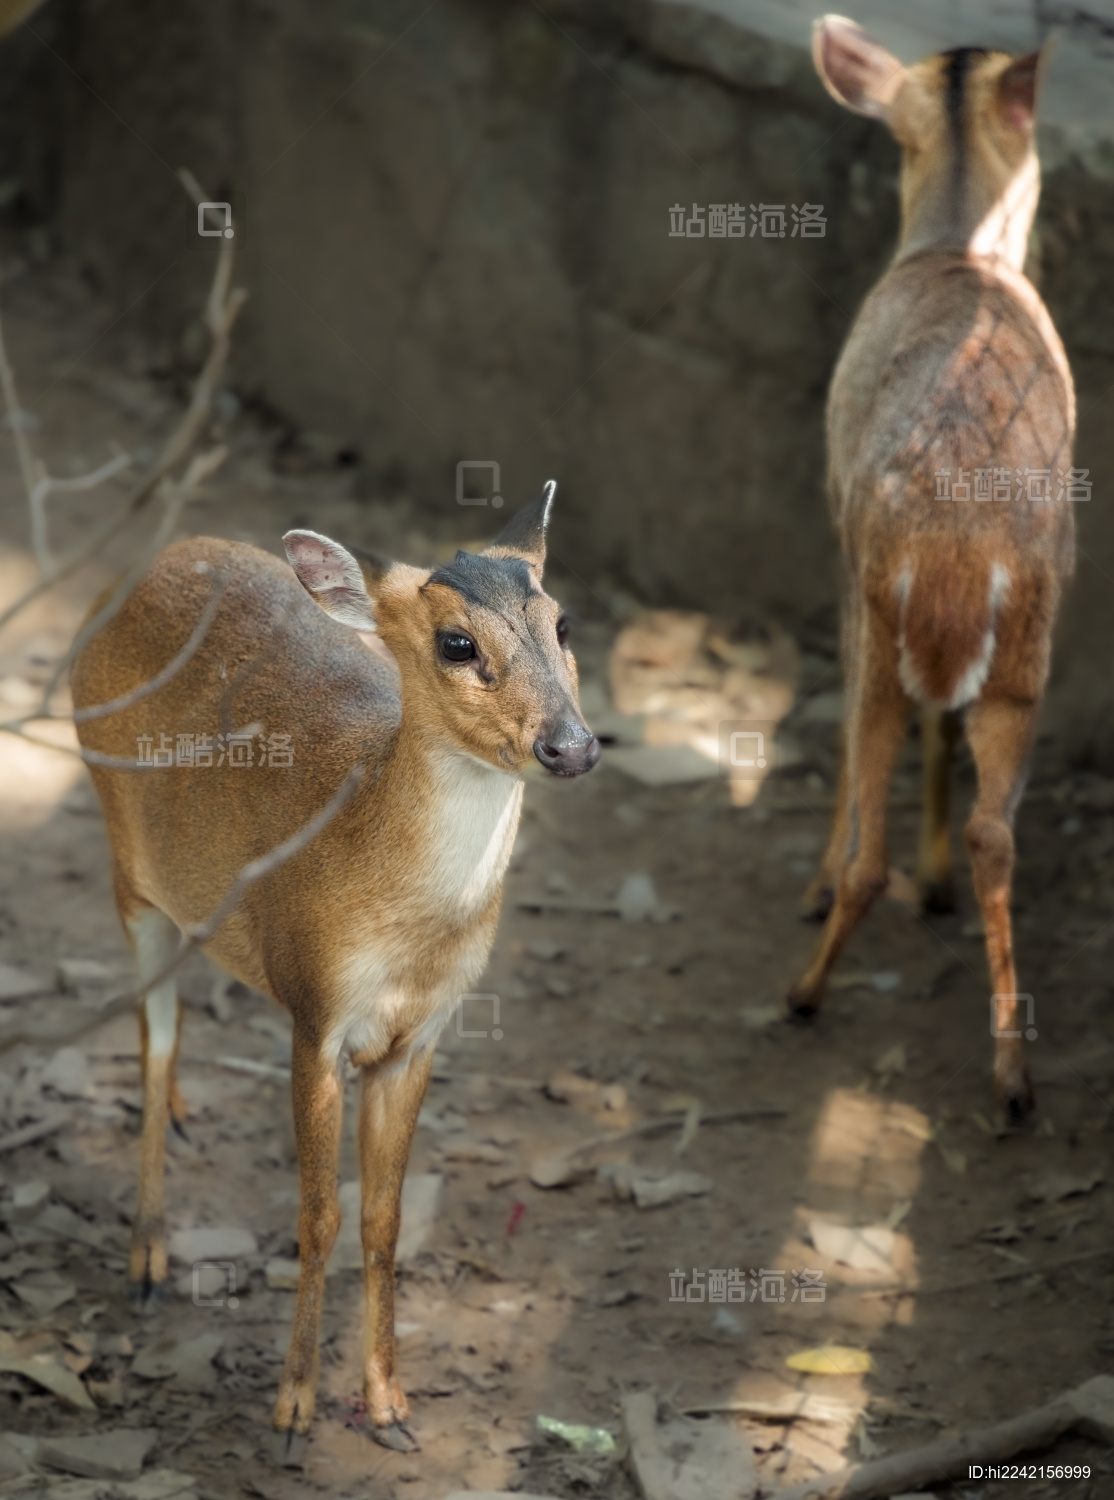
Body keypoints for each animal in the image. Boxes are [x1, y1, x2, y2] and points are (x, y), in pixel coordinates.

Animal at [70, 483, 599, 1456]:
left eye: (563, 622)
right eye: (456, 642)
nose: (572, 747)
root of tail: (143, 572)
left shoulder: (419, 1037)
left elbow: (383, 1221)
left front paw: (389, 1406)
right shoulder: (315, 1012)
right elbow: (316, 1216)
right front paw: (293, 1410)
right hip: (126, 865)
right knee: (151, 1036)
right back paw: (148, 1258)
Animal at [788, 17, 1075, 1123]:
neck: (959, 246)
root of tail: (959, 548)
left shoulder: (835, 528)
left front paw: (821, 882)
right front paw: (937, 870)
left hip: (881, 604)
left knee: (871, 823)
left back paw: (804, 989)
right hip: (1031, 644)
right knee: (1003, 829)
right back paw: (1012, 1078)